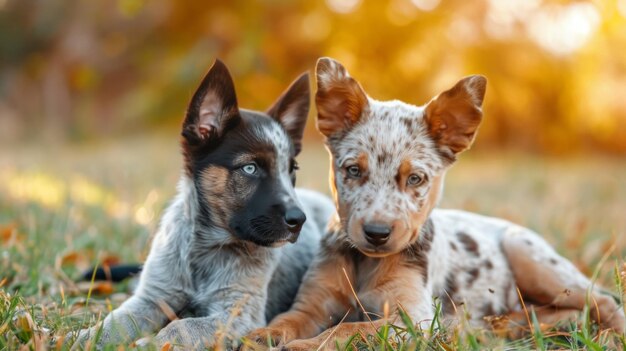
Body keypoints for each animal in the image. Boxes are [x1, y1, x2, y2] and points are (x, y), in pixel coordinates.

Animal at [67, 60, 336, 350]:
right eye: (250, 168)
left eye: (292, 169)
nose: (299, 220)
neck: (206, 248)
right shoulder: (150, 298)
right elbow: (114, 322)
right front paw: (83, 337)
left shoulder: (238, 314)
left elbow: (182, 326)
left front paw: (151, 342)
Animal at [245, 59, 624, 350]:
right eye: (353, 170)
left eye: (416, 179)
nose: (377, 233)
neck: (366, 263)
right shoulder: (313, 304)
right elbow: (287, 320)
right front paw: (262, 336)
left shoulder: (411, 318)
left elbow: (346, 329)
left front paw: (303, 346)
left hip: (536, 262)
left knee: (602, 300)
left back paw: (610, 335)